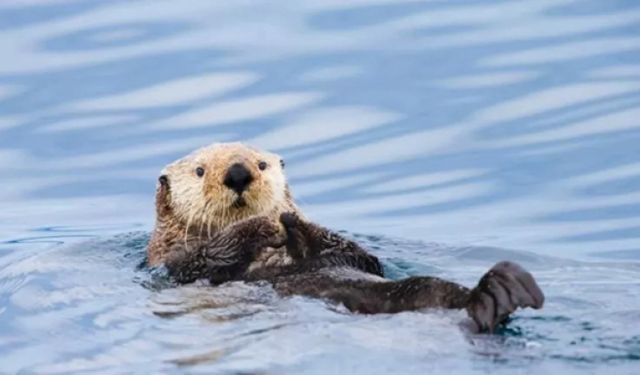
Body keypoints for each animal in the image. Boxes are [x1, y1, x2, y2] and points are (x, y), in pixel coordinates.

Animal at [148, 142, 544, 334]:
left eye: (261, 164)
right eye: (200, 171)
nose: (238, 172)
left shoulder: (355, 256)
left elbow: (358, 256)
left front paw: (292, 222)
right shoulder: (175, 264)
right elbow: (210, 257)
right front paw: (264, 225)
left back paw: (503, 291)